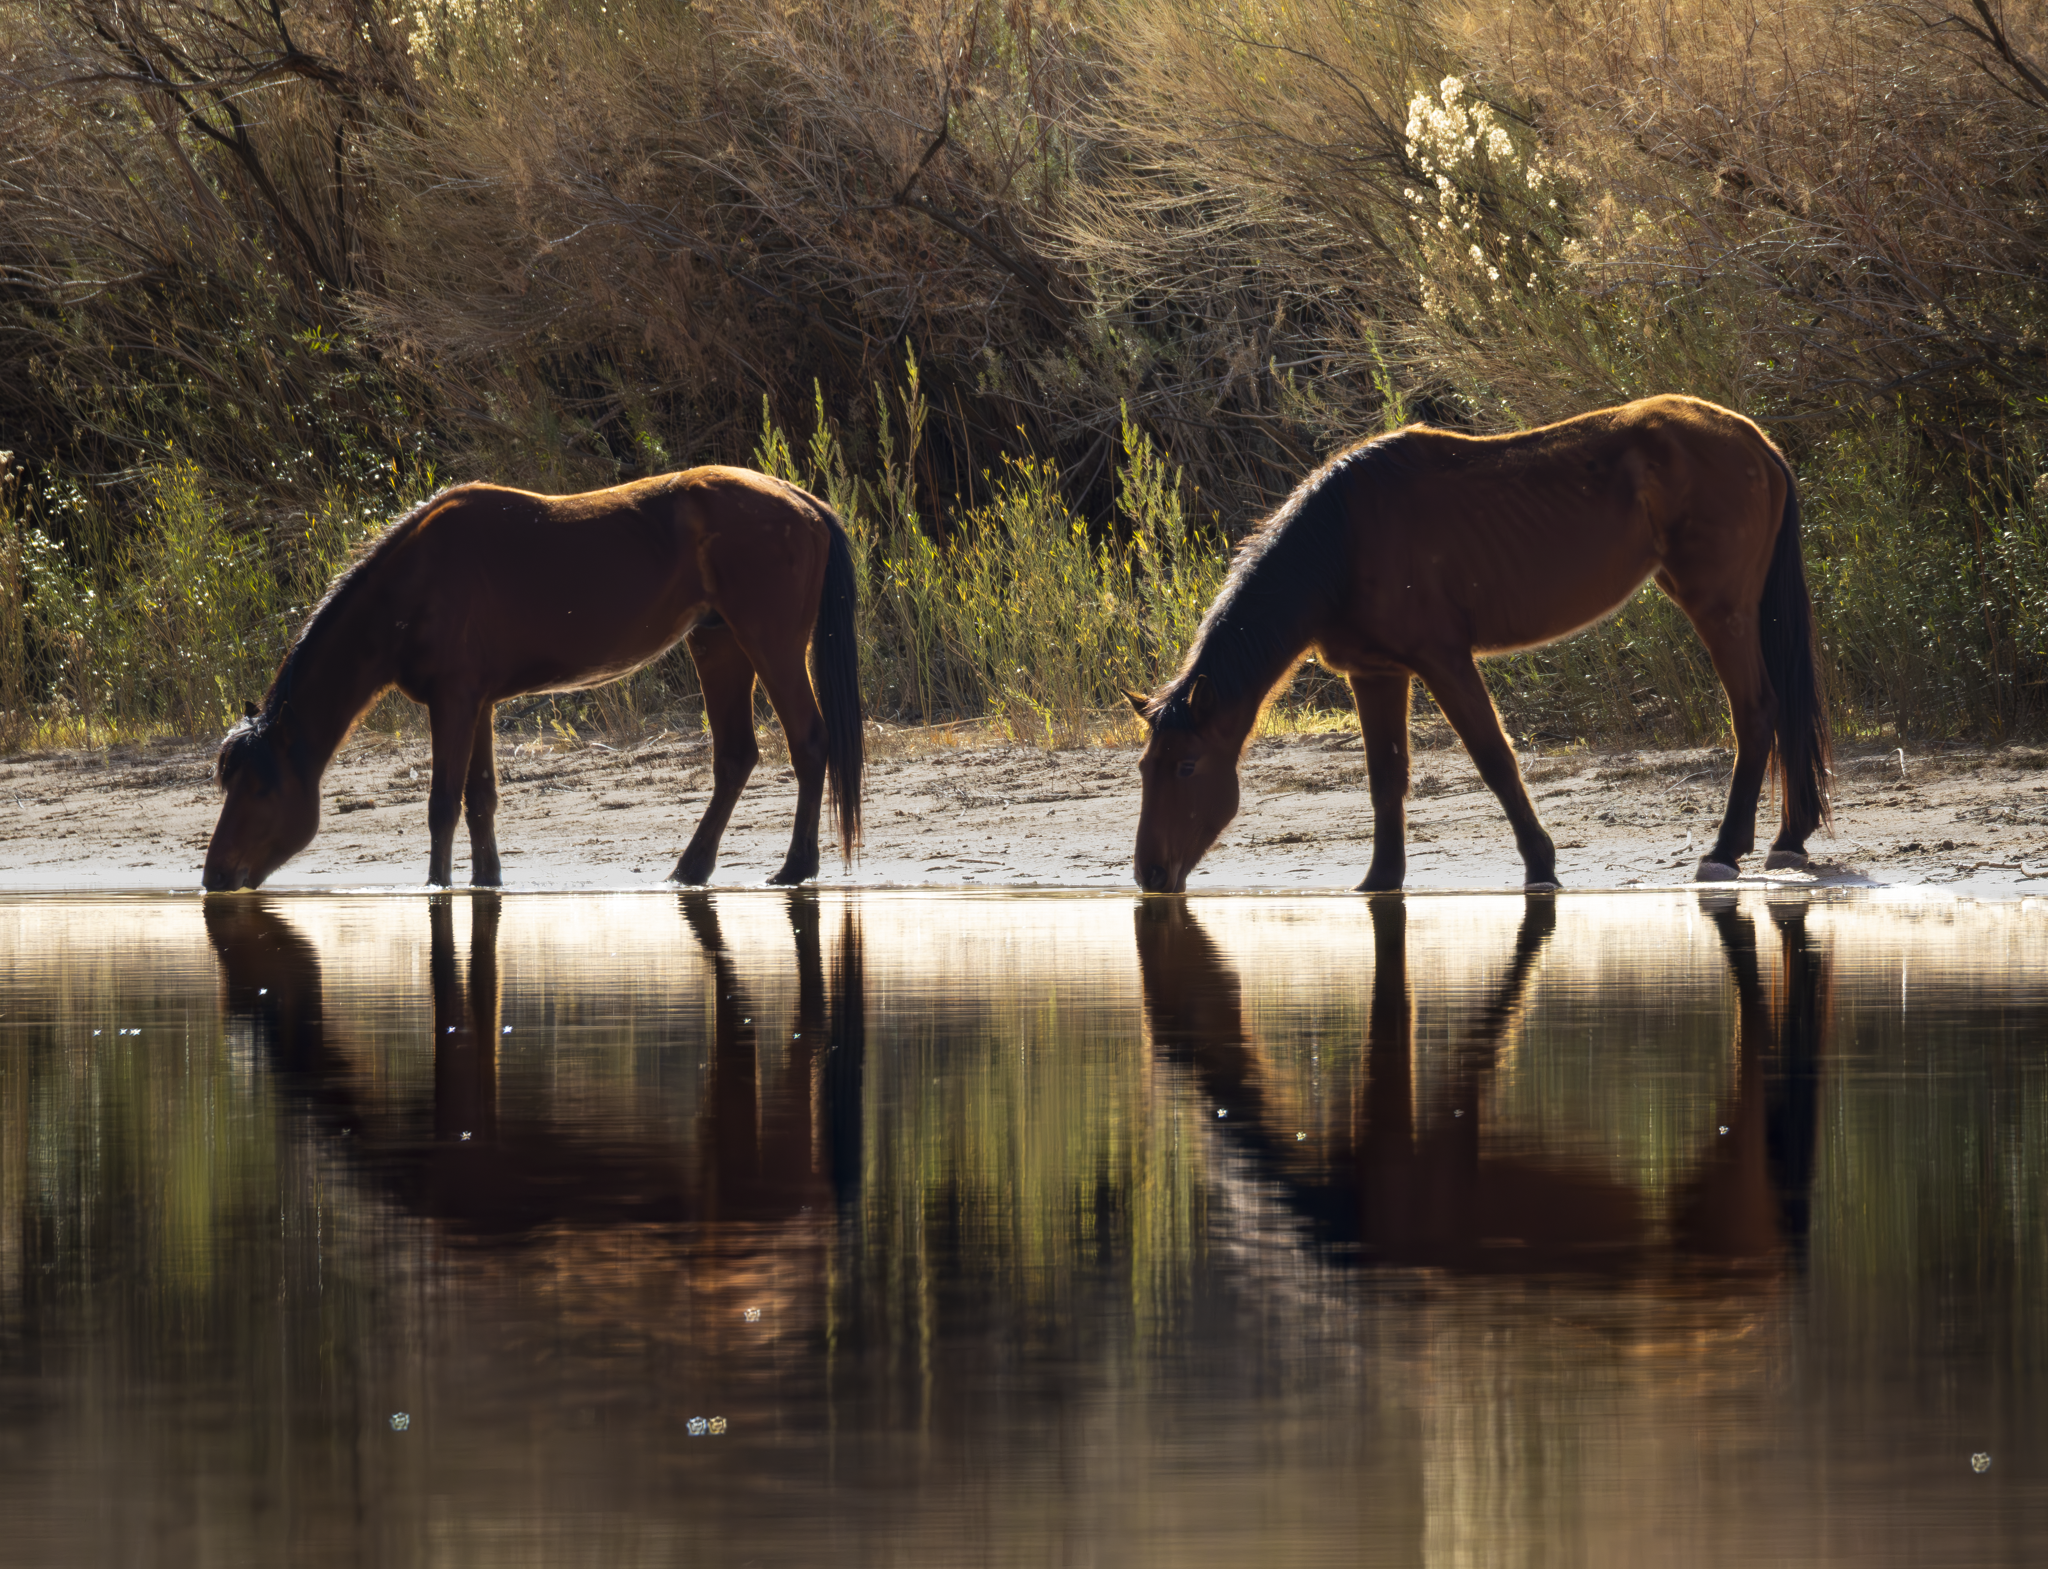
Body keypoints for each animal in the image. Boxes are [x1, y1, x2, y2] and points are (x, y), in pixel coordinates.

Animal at [202, 467, 862, 891]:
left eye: (260, 790)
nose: (214, 877)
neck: (414, 586)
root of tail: (800, 500)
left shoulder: (453, 702)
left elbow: (441, 803)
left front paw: (437, 888)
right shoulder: (477, 704)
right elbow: (480, 799)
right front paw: (485, 882)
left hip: (770, 644)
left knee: (808, 743)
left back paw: (796, 867)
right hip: (718, 642)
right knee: (735, 757)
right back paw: (689, 870)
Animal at [1129, 395, 1830, 892]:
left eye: (1187, 766)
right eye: (1144, 768)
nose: (1150, 876)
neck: (1343, 542)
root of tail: (1755, 440)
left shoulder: (1443, 660)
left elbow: (1494, 759)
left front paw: (1540, 865)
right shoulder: (1376, 673)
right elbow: (1387, 776)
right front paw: (1381, 879)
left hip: (1721, 610)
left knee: (1756, 711)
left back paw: (1726, 849)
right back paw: (1788, 837)